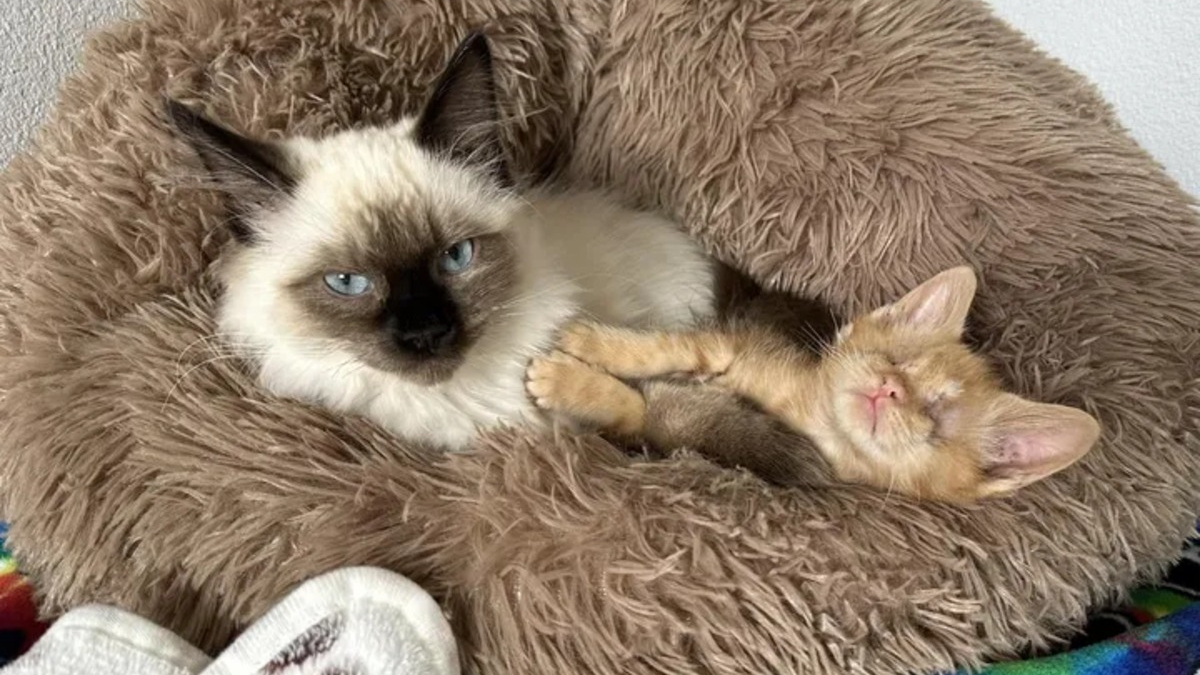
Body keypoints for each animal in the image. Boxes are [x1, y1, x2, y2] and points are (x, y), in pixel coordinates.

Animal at [530, 266, 1099, 499]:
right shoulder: (734, 344)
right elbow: (673, 348)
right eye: (895, 360)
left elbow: (640, 411)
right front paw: (592, 342)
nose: (889, 388)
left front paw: (567, 378)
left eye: (938, 418)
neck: (800, 408)